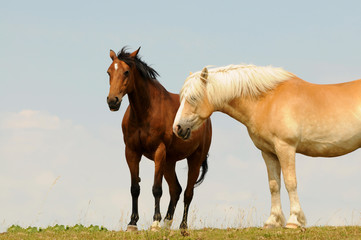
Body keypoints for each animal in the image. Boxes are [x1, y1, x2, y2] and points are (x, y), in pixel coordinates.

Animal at [105, 46, 211, 231]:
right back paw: (167, 223)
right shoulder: (131, 152)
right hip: (169, 162)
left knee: (188, 192)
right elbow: (135, 188)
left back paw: (182, 225)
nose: (113, 101)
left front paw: (155, 222)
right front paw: (132, 223)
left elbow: (156, 188)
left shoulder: (159, 151)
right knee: (176, 190)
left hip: (195, 159)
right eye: (109, 72)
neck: (146, 111)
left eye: (126, 72)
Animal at [172, 63, 360, 229]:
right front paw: (273, 221)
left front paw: (293, 221)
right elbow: (274, 185)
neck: (268, 100)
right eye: (181, 98)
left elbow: (290, 182)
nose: (177, 128)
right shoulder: (268, 152)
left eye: (193, 98)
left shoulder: (286, 147)